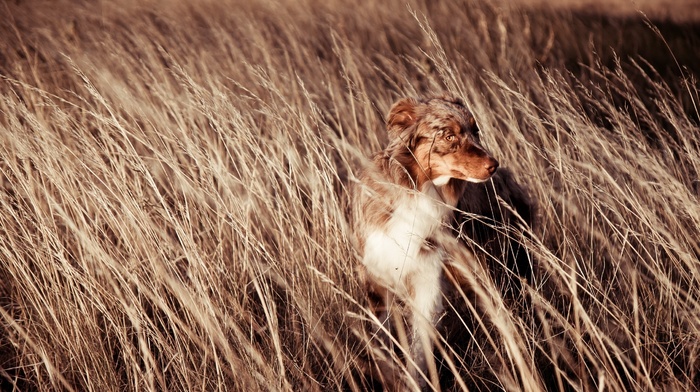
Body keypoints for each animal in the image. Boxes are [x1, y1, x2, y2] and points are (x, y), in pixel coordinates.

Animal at [352, 94, 500, 388]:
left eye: (475, 131)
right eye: (449, 135)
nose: (494, 165)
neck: (420, 190)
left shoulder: (427, 280)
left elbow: (419, 348)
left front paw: (413, 382)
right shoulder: (376, 277)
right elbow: (382, 340)